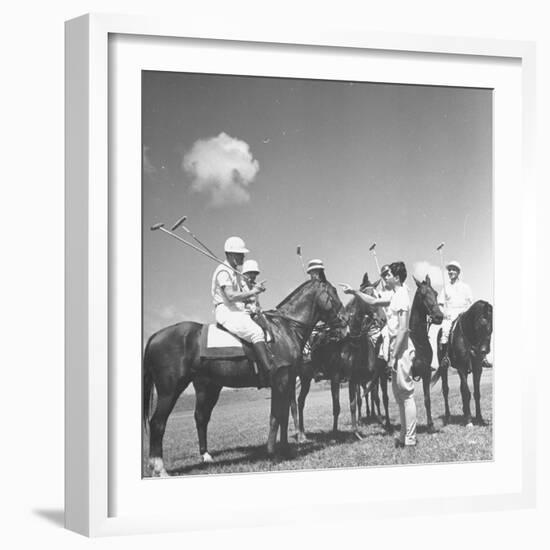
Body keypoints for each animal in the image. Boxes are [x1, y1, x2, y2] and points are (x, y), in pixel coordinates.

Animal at [144, 280, 348, 478]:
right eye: (333, 294)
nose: (345, 322)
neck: (284, 329)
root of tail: (154, 336)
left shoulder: (287, 382)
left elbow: (283, 416)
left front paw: (285, 449)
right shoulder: (280, 381)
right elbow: (275, 416)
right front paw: (272, 453)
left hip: (208, 388)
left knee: (200, 417)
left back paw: (206, 456)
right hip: (170, 390)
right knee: (157, 423)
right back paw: (160, 468)